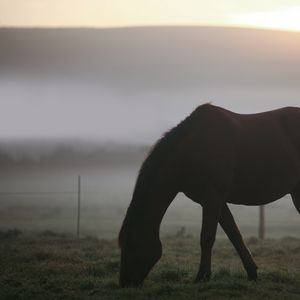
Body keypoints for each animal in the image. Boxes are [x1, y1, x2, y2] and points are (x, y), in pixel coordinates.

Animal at [118, 104, 298, 288]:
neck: (193, 149)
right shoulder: (217, 201)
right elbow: (234, 235)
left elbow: (206, 238)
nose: (124, 283)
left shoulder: (212, 198)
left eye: (132, 245)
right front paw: (252, 272)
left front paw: (202, 277)